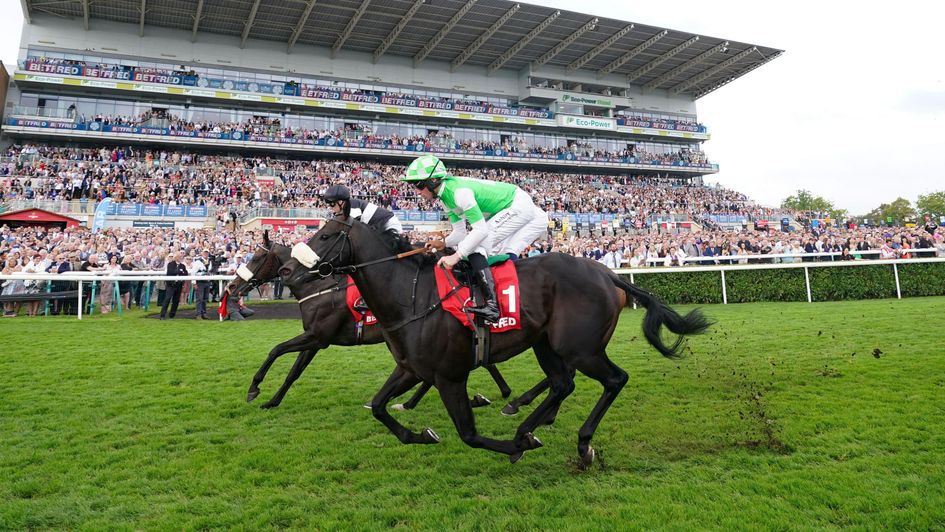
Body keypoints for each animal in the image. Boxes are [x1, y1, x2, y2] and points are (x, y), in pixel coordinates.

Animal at [227, 231, 508, 410]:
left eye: (256, 258)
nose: (231, 286)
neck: (318, 286)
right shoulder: (316, 339)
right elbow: (294, 372)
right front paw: (272, 401)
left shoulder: (317, 336)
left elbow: (276, 350)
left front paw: (254, 388)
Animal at [280, 218, 708, 468]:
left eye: (326, 235)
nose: (287, 270)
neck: (410, 296)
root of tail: (608, 274)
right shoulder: (410, 368)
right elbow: (381, 407)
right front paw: (418, 433)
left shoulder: (449, 376)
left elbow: (468, 435)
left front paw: (514, 446)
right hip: (547, 344)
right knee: (562, 384)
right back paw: (530, 424)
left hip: (580, 348)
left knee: (613, 380)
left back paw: (573, 441)